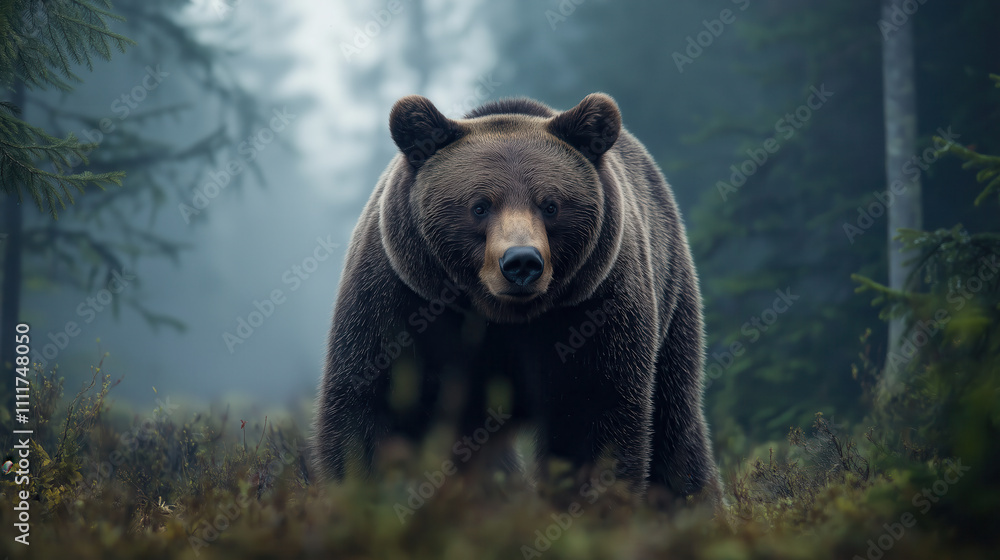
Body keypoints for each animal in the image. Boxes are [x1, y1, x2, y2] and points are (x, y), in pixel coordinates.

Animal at [312, 92, 722, 507]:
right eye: (479, 205)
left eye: (550, 205)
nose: (521, 262)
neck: (501, 314)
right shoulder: (400, 302)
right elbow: (370, 405)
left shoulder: (594, 310)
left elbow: (592, 415)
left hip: (672, 301)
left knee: (675, 422)